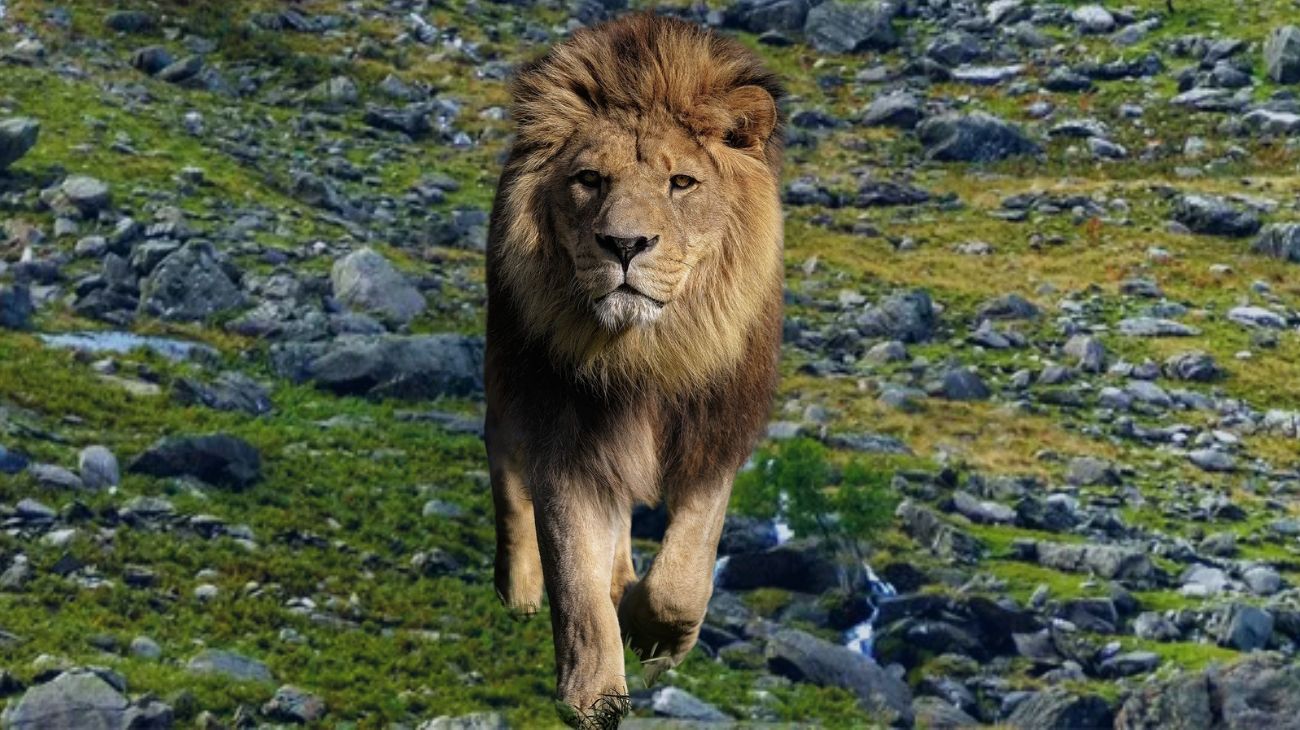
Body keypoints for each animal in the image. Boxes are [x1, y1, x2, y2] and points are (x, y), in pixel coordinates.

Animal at [486, 14, 780, 722]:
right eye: (590, 180)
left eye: (681, 183)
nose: (624, 244)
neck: (645, 352)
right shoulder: (564, 435)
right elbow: (574, 576)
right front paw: (591, 695)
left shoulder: (715, 436)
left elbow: (684, 572)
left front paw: (655, 635)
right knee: (503, 461)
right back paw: (521, 586)